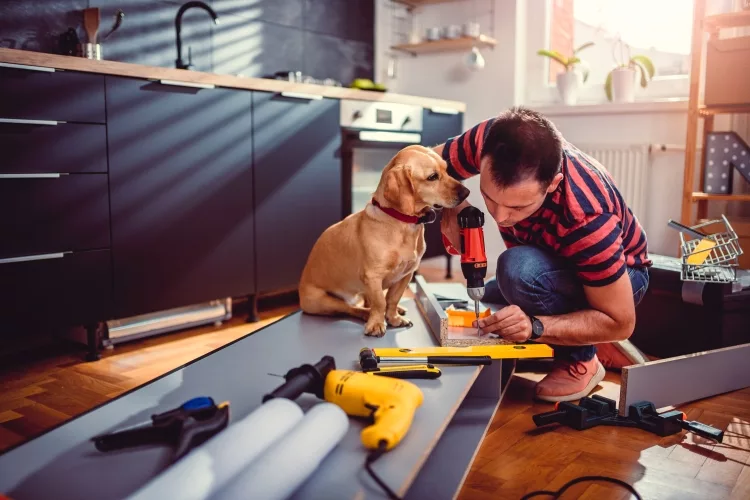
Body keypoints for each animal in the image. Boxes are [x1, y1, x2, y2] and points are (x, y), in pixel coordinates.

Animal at [300, 146, 470, 338]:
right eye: (432, 177)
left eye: (446, 170)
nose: (467, 193)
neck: (403, 223)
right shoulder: (373, 276)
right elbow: (380, 302)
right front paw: (376, 323)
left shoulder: (406, 275)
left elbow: (392, 299)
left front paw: (394, 317)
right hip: (323, 301)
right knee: (352, 309)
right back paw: (366, 314)